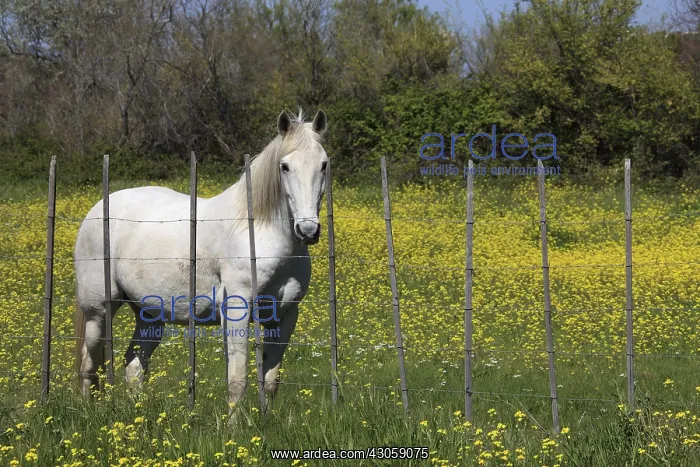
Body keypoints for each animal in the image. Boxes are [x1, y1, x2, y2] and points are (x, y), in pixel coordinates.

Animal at [74, 109, 328, 409]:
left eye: (324, 164)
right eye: (285, 166)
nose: (308, 230)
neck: (260, 232)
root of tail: (96, 210)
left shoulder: (285, 316)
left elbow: (270, 382)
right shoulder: (237, 311)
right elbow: (237, 380)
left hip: (149, 314)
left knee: (134, 363)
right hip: (99, 311)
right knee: (90, 362)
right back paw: (89, 411)